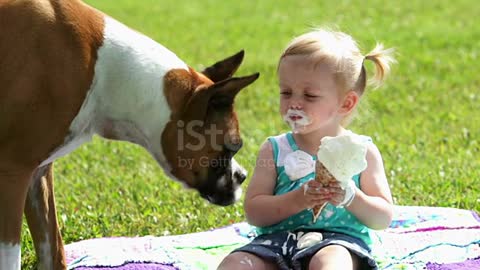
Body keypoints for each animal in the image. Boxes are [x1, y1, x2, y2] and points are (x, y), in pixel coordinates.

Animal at [0, 1, 258, 268]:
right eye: (233, 146)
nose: (243, 175)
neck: (105, 72)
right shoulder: (13, 173)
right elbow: (10, 257)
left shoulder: (38, 175)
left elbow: (53, 248)